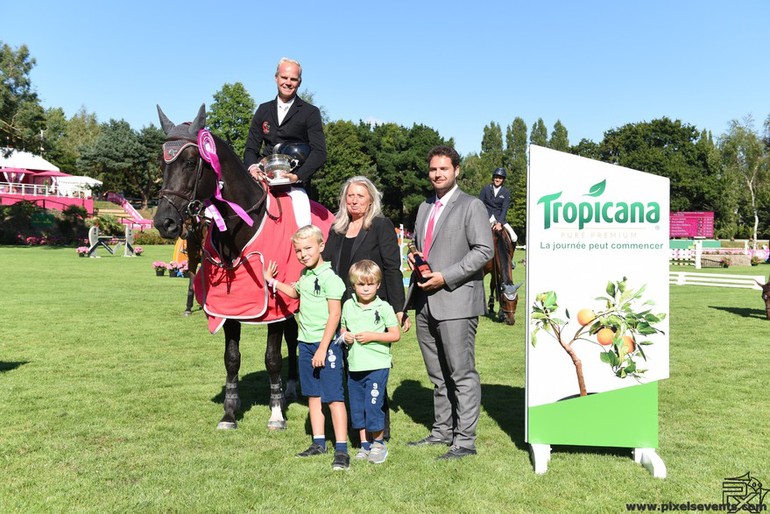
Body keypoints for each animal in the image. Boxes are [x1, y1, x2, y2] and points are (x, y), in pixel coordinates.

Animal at [154, 106, 326, 430]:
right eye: (163, 163)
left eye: (191, 162)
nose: (163, 222)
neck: (241, 228)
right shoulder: (229, 307)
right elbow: (231, 358)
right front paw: (229, 413)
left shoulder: (275, 306)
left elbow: (272, 358)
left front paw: (276, 413)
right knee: (293, 337)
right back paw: (291, 385)